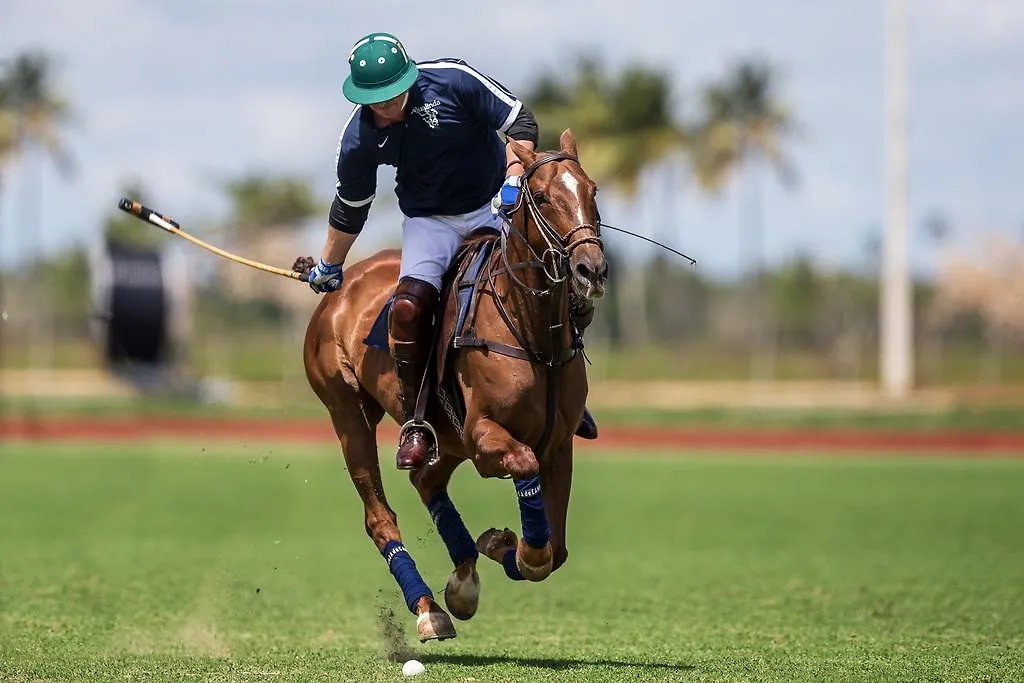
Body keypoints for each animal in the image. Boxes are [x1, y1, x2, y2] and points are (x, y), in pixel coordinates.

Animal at [301, 129, 606, 647]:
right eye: (543, 196)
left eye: (593, 191)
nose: (591, 269)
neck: (533, 332)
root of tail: (342, 286)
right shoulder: (484, 435)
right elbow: (533, 516)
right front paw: (505, 544)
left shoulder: (558, 444)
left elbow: (556, 550)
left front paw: (495, 547)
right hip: (349, 414)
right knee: (379, 516)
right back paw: (428, 608)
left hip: (447, 436)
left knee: (426, 480)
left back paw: (462, 578)